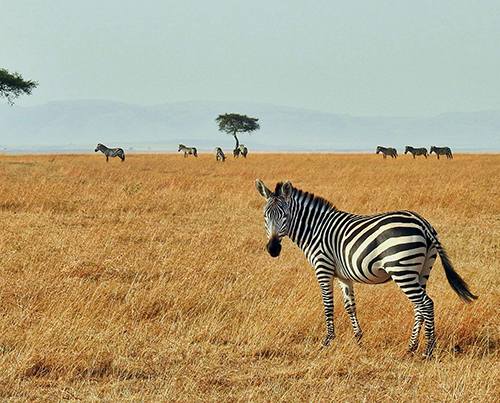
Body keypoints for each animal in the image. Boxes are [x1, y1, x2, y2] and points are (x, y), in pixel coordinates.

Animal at [256, 181, 478, 358]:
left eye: (285, 215)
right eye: (265, 216)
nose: (273, 249)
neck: (315, 230)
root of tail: (423, 223)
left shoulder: (323, 268)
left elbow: (328, 305)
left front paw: (327, 341)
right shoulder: (343, 276)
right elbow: (350, 306)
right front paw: (358, 339)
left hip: (402, 269)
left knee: (426, 304)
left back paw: (428, 350)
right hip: (422, 270)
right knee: (419, 306)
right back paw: (411, 347)